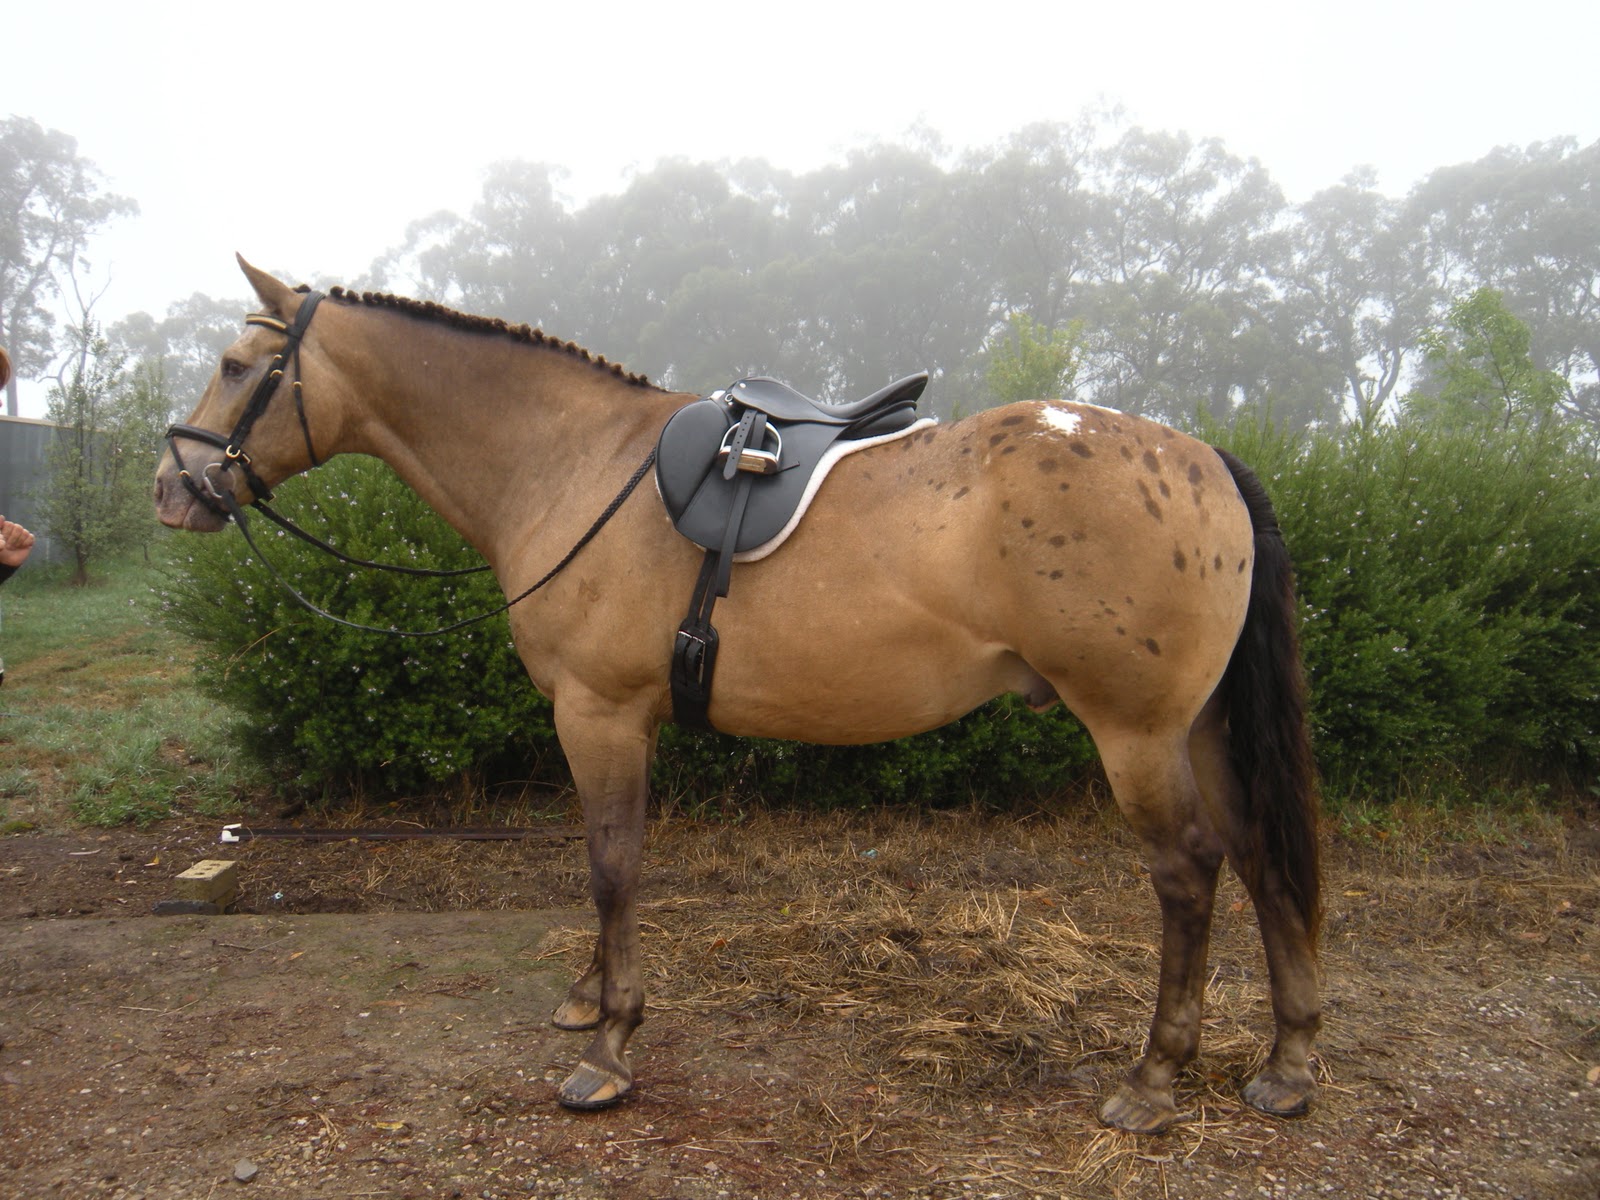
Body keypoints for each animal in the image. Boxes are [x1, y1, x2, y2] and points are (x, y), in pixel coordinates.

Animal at [154, 257, 1322, 1134]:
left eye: (237, 365)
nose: (173, 487)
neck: (574, 462)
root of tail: (1204, 458)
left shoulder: (598, 713)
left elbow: (611, 867)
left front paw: (611, 1048)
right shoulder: (610, 722)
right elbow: (606, 862)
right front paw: (587, 1003)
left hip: (1136, 732)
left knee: (1190, 873)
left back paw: (1154, 1081)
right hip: (1200, 728)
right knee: (1261, 857)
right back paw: (1288, 1064)